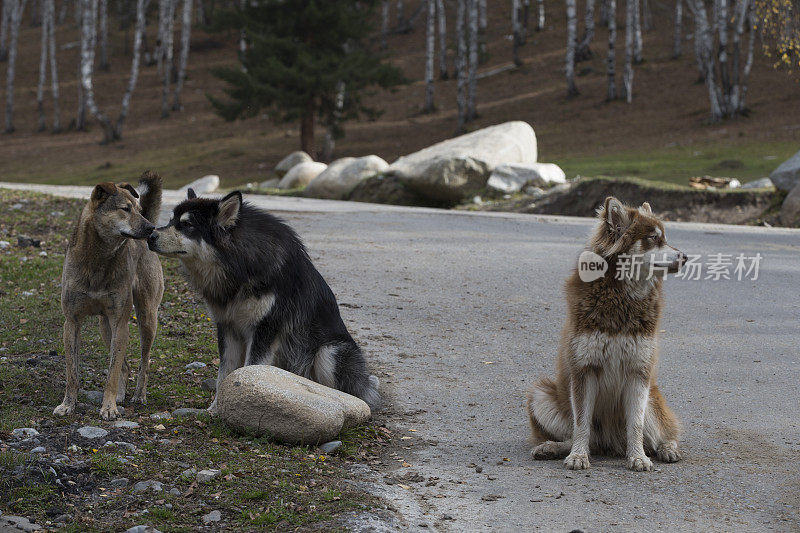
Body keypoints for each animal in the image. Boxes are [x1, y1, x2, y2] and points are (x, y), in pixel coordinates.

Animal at [53, 170, 164, 420]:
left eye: (138, 209)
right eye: (125, 209)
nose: (152, 229)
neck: (99, 259)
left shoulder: (120, 322)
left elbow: (111, 373)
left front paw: (109, 407)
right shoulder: (71, 322)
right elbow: (72, 372)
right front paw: (68, 404)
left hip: (146, 318)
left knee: (143, 362)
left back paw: (138, 395)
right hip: (105, 328)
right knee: (125, 366)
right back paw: (122, 395)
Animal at [148, 190, 382, 412]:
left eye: (187, 225)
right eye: (171, 220)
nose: (150, 235)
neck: (239, 266)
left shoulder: (265, 329)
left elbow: (251, 368)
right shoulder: (227, 327)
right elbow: (224, 373)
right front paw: (215, 409)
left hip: (329, 352)